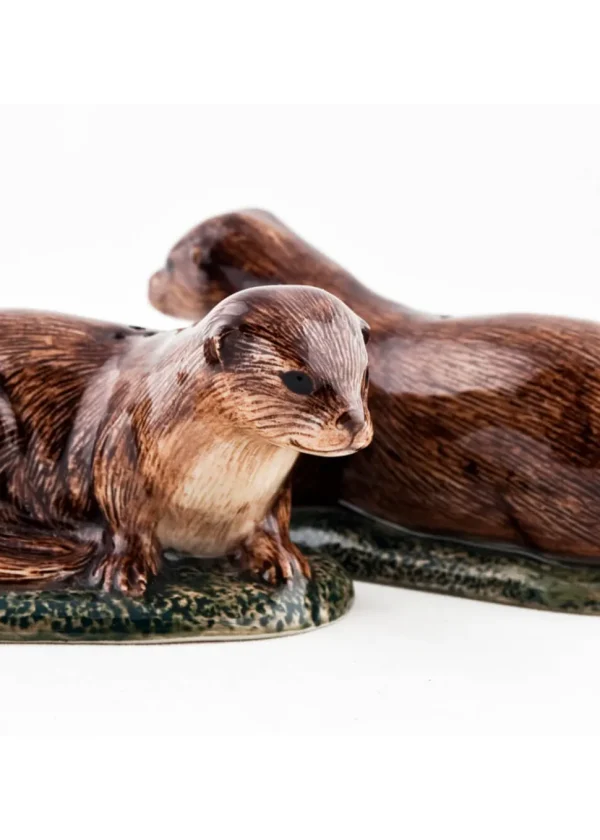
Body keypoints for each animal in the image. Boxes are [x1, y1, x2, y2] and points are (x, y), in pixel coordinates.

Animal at [0, 285, 372, 595]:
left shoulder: (274, 492)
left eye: (364, 374)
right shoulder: (119, 453)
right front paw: (126, 566)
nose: (355, 421)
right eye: (297, 379)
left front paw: (282, 556)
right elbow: (124, 521)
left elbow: (275, 522)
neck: (209, 502)